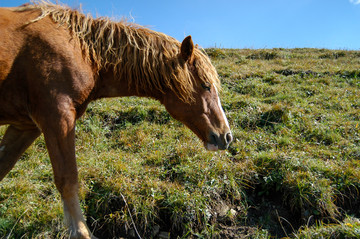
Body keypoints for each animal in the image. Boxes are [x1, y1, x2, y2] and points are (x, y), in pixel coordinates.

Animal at [0, 1, 232, 237]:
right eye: (206, 85)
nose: (226, 136)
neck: (82, 50)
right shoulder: (57, 116)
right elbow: (68, 179)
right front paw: (82, 232)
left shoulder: (25, 126)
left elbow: (3, 167)